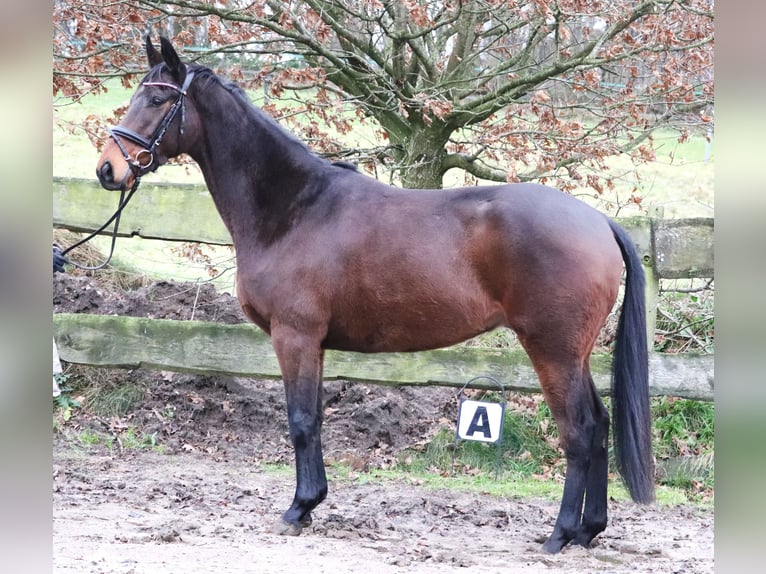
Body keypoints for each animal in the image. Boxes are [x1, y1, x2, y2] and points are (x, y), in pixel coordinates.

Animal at [96, 37, 656, 560]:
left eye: (155, 99)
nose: (107, 170)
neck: (294, 208)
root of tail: (598, 222)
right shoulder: (314, 343)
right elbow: (316, 418)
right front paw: (312, 502)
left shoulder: (294, 336)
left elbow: (301, 422)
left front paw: (297, 509)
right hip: (574, 354)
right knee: (599, 426)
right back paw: (588, 530)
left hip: (552, 350)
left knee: (578, 432)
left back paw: (559, 535)